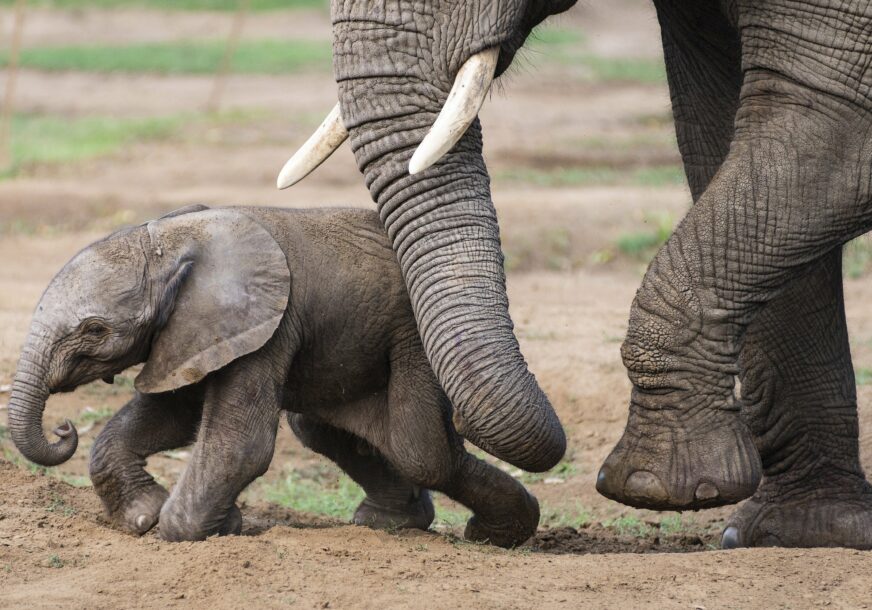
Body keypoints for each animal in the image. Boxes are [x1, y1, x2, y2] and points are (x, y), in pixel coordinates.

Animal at [8, 205, 540, 548]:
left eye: (94, 330)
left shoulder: (267, 323)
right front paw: (146, 516)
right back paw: (404, 524)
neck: (170, 240)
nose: (63, 428)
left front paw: (190, 529)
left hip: (414, 335)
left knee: (421, 449)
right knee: (332, 432)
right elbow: (174, 414)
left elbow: (238, 443)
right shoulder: (193, 331)